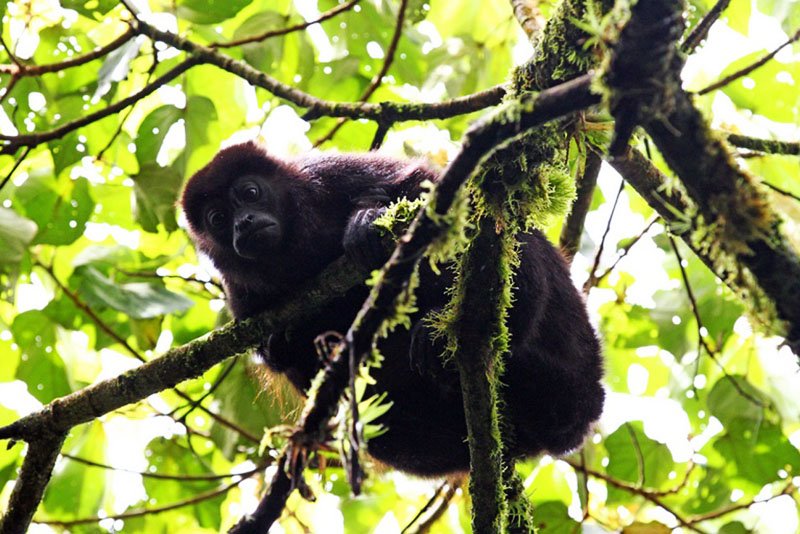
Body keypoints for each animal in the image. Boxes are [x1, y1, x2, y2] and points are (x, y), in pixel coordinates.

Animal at [181, 142, 604, 478]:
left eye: (250, 192)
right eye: (217, 219)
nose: (243, 223)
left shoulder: (326, 173)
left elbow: (424, 184)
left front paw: (366, 220)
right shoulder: (240, 296)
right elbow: (279, 357)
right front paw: (280, 342)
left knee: (507, 241)